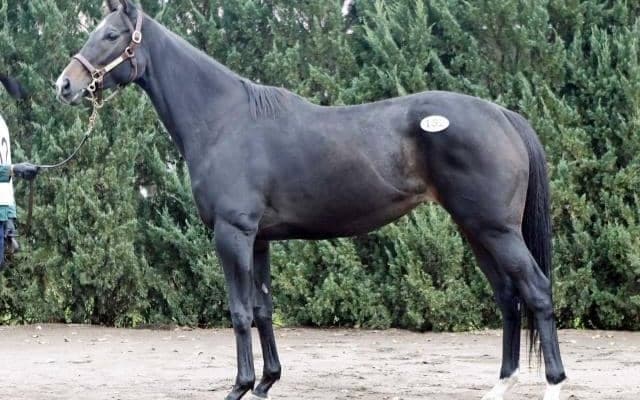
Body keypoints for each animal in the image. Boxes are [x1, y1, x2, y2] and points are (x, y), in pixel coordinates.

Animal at [56, 1, 567, 399]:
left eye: (111, 35)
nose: (64, 85)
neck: (224, 120)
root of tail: (502, 115)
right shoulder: (258, 239)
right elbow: (263, 309)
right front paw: (267, 381)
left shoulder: (232, 234)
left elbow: (239, 311)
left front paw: (239, 385)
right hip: (475, 229)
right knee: (508, 297)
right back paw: (501, 384)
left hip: (496, 230)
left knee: (537, 290)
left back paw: (554, 384)